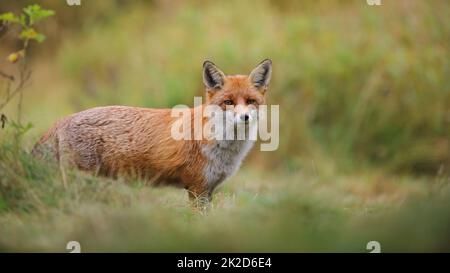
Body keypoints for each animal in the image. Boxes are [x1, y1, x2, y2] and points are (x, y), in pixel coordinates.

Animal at [32, 59, 270, 201]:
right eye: (228, 102)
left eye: (251, 101)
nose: (244, 117)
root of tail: (62, 119)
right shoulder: (197, 187)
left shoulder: (209, 189)